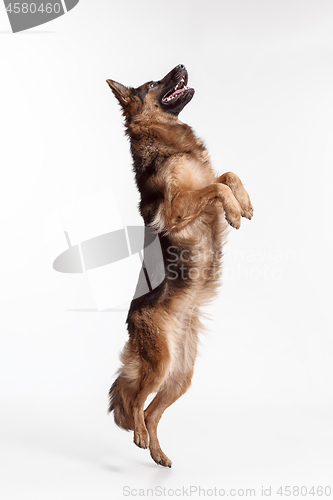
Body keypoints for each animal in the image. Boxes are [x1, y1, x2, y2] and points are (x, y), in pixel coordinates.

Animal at [106, 64, 252, 466]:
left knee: (152, 411)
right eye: (154, 84)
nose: (182, 66)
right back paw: (139, 436)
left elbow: (227, 175)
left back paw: (158, 454)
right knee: (136, 402)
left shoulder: (204, 182)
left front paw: (244, 203)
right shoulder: (177, 208)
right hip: (159, 366)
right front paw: (234, 212)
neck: (169, 143)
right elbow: (216, 188)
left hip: (181, 375)